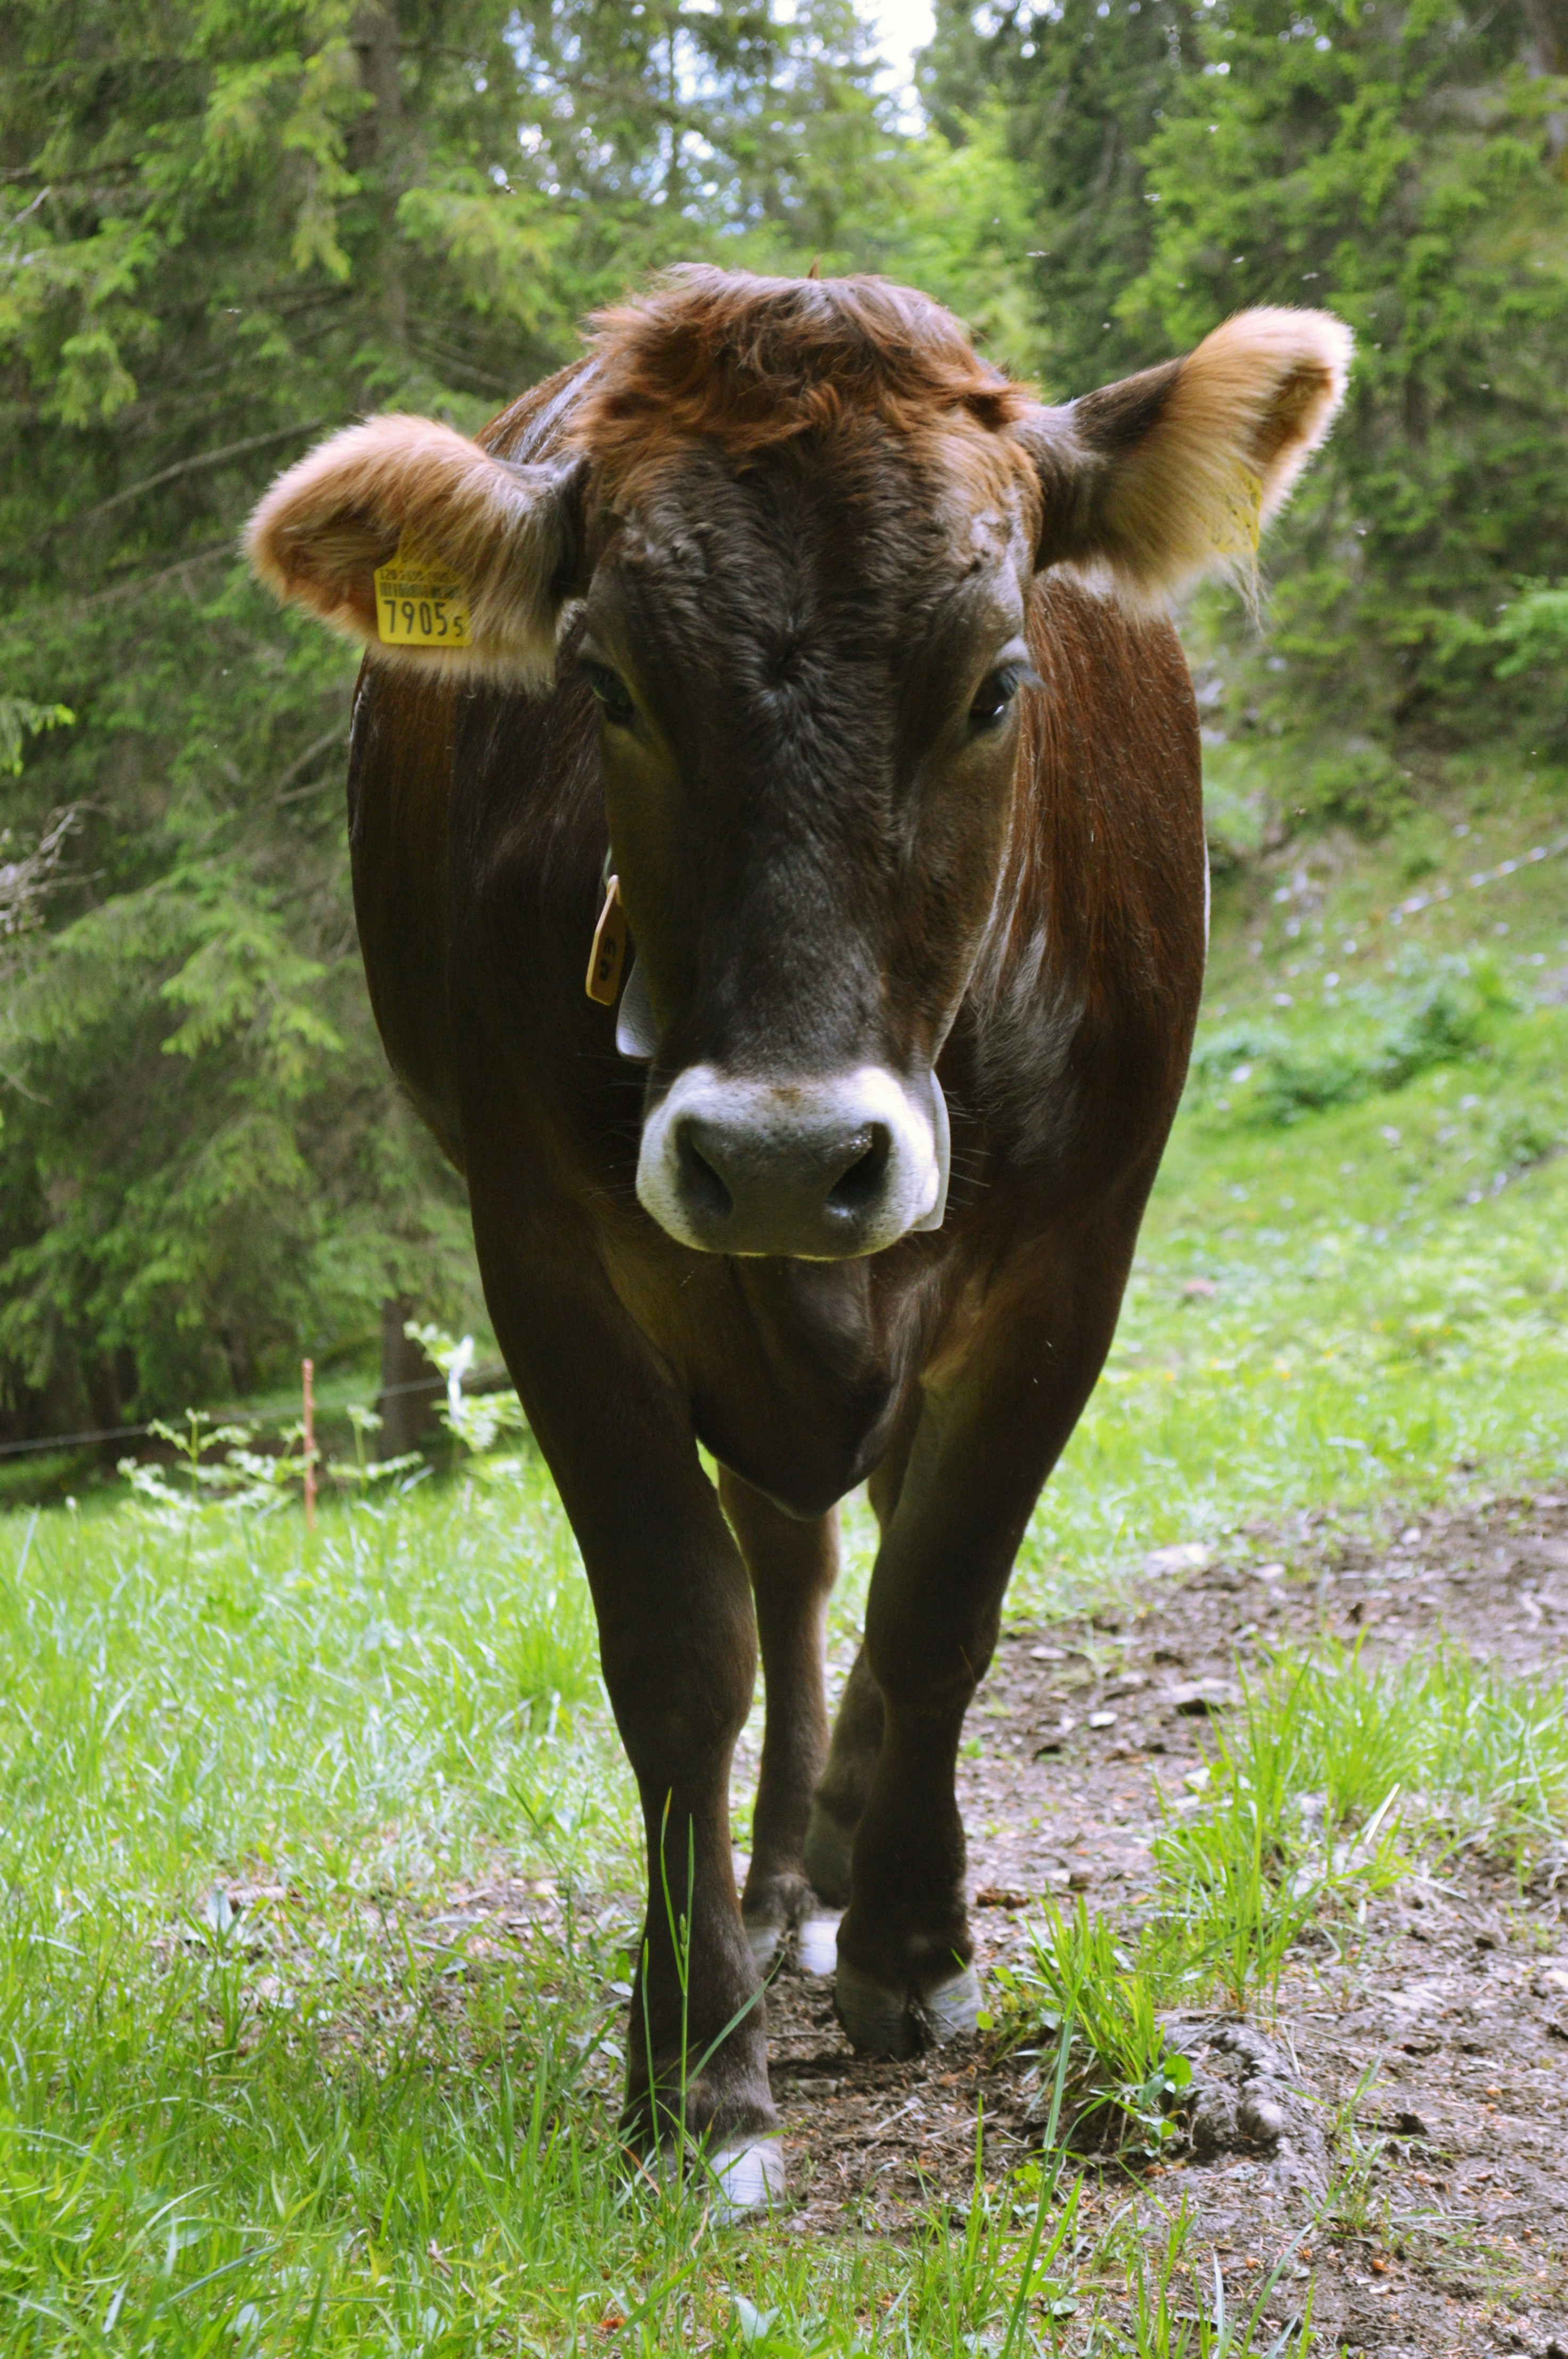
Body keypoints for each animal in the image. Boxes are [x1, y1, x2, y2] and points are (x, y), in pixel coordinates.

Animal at [246, 269, 1349, 2210]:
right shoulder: (549, 1254)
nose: (782, 1157)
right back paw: (777, 1885)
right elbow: (682, 1643)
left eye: (996, 684)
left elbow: (944, 1599)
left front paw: (911, 1943)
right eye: (606, 679)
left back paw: (842, 1869)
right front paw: (696, 2063)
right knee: (785, 1563)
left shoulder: (1073, 1252)